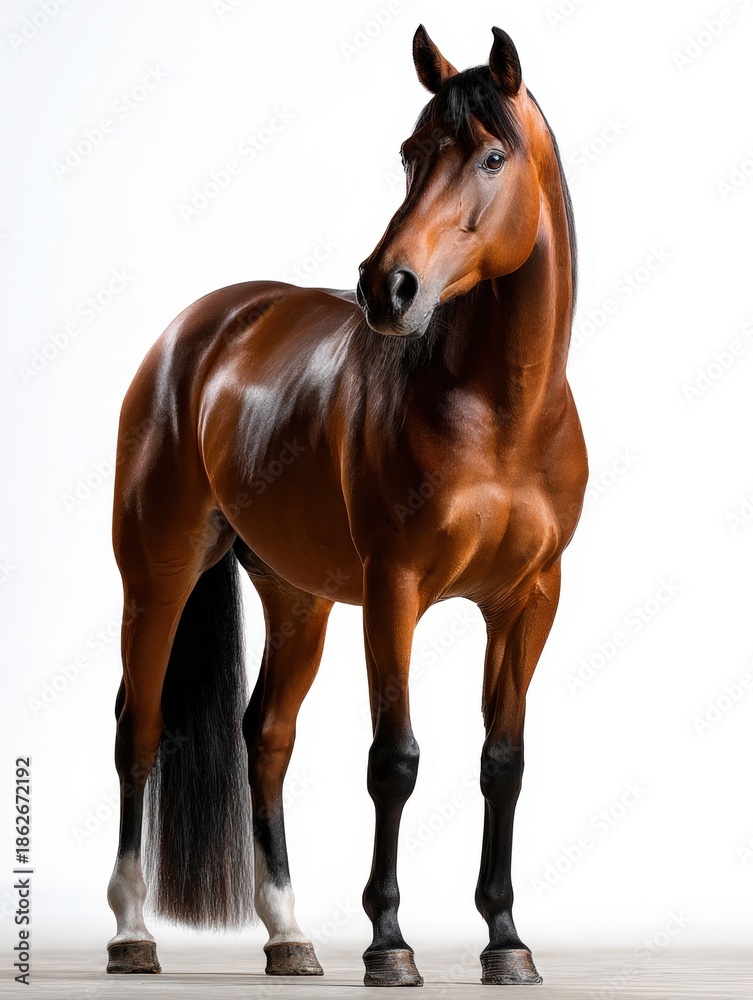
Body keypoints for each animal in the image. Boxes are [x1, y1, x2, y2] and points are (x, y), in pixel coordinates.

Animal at [106, 24, 587, 987]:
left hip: (299, 601)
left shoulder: (527, 602)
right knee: (138, 727)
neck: (503, 416)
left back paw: (288, 937)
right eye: (408, 152)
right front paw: (389, 943)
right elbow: (394, 761)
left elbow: (503, 762)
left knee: (265, 737)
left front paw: (505, 941)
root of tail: (197, 330)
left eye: (490, 156)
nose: (385, 288)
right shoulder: (393, 591)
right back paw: (133, 932)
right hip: (158, 574)